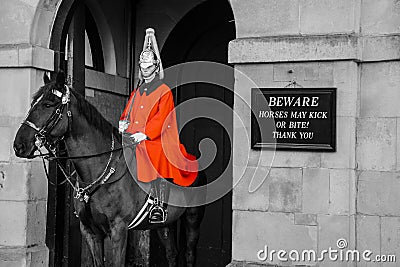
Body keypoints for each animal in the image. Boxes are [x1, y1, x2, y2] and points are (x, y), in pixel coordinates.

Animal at [12, 72, 206, 266]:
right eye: (33, 103)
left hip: (193, 219)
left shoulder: (119, 230)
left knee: (189, 254)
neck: (96, 171)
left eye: (48, 104)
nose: (19, 145)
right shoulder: (90, 232)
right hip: (165, 223)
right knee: (172, 253)